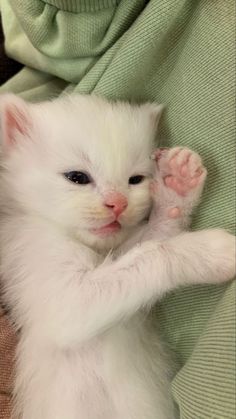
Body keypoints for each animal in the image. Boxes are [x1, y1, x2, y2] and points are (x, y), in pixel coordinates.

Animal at [0, 95, 235, 419]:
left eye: (135, 179)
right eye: (77, 177)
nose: (118, 204)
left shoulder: (117, 260)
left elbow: (148, 242)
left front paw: (176, 187)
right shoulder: (50, 281)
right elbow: (152, 254)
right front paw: (210, 251)